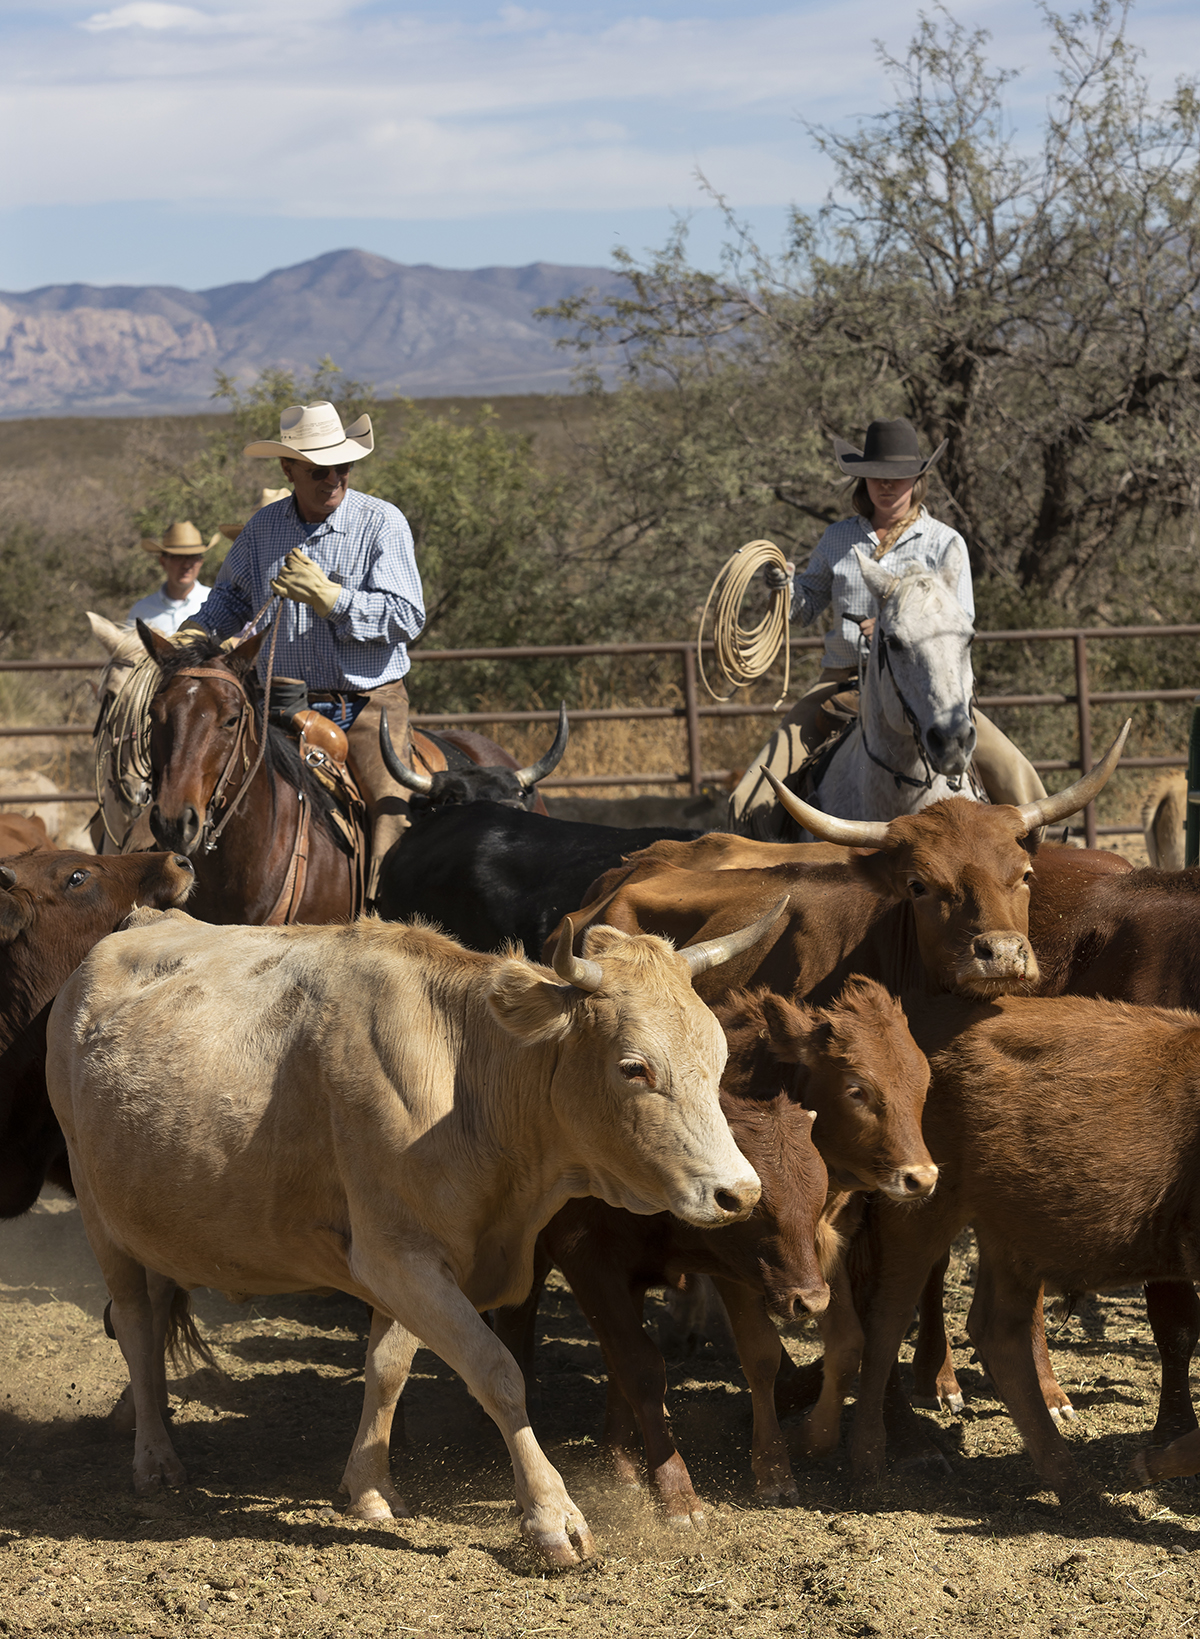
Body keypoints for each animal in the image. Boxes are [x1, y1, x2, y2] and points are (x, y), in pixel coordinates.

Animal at [44, 911, 777, 1560]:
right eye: (634, 1068)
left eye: (718, 1058)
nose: (739, 1192)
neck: (463, 1077)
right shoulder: (398, 1257)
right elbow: (496, 1372)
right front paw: (552, 1518)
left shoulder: (412, 1257)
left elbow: (389, 1366)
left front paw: (369, 1489)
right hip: (99, 1215)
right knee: (136, 1327)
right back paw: (154, 1460)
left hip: (155, 1216)